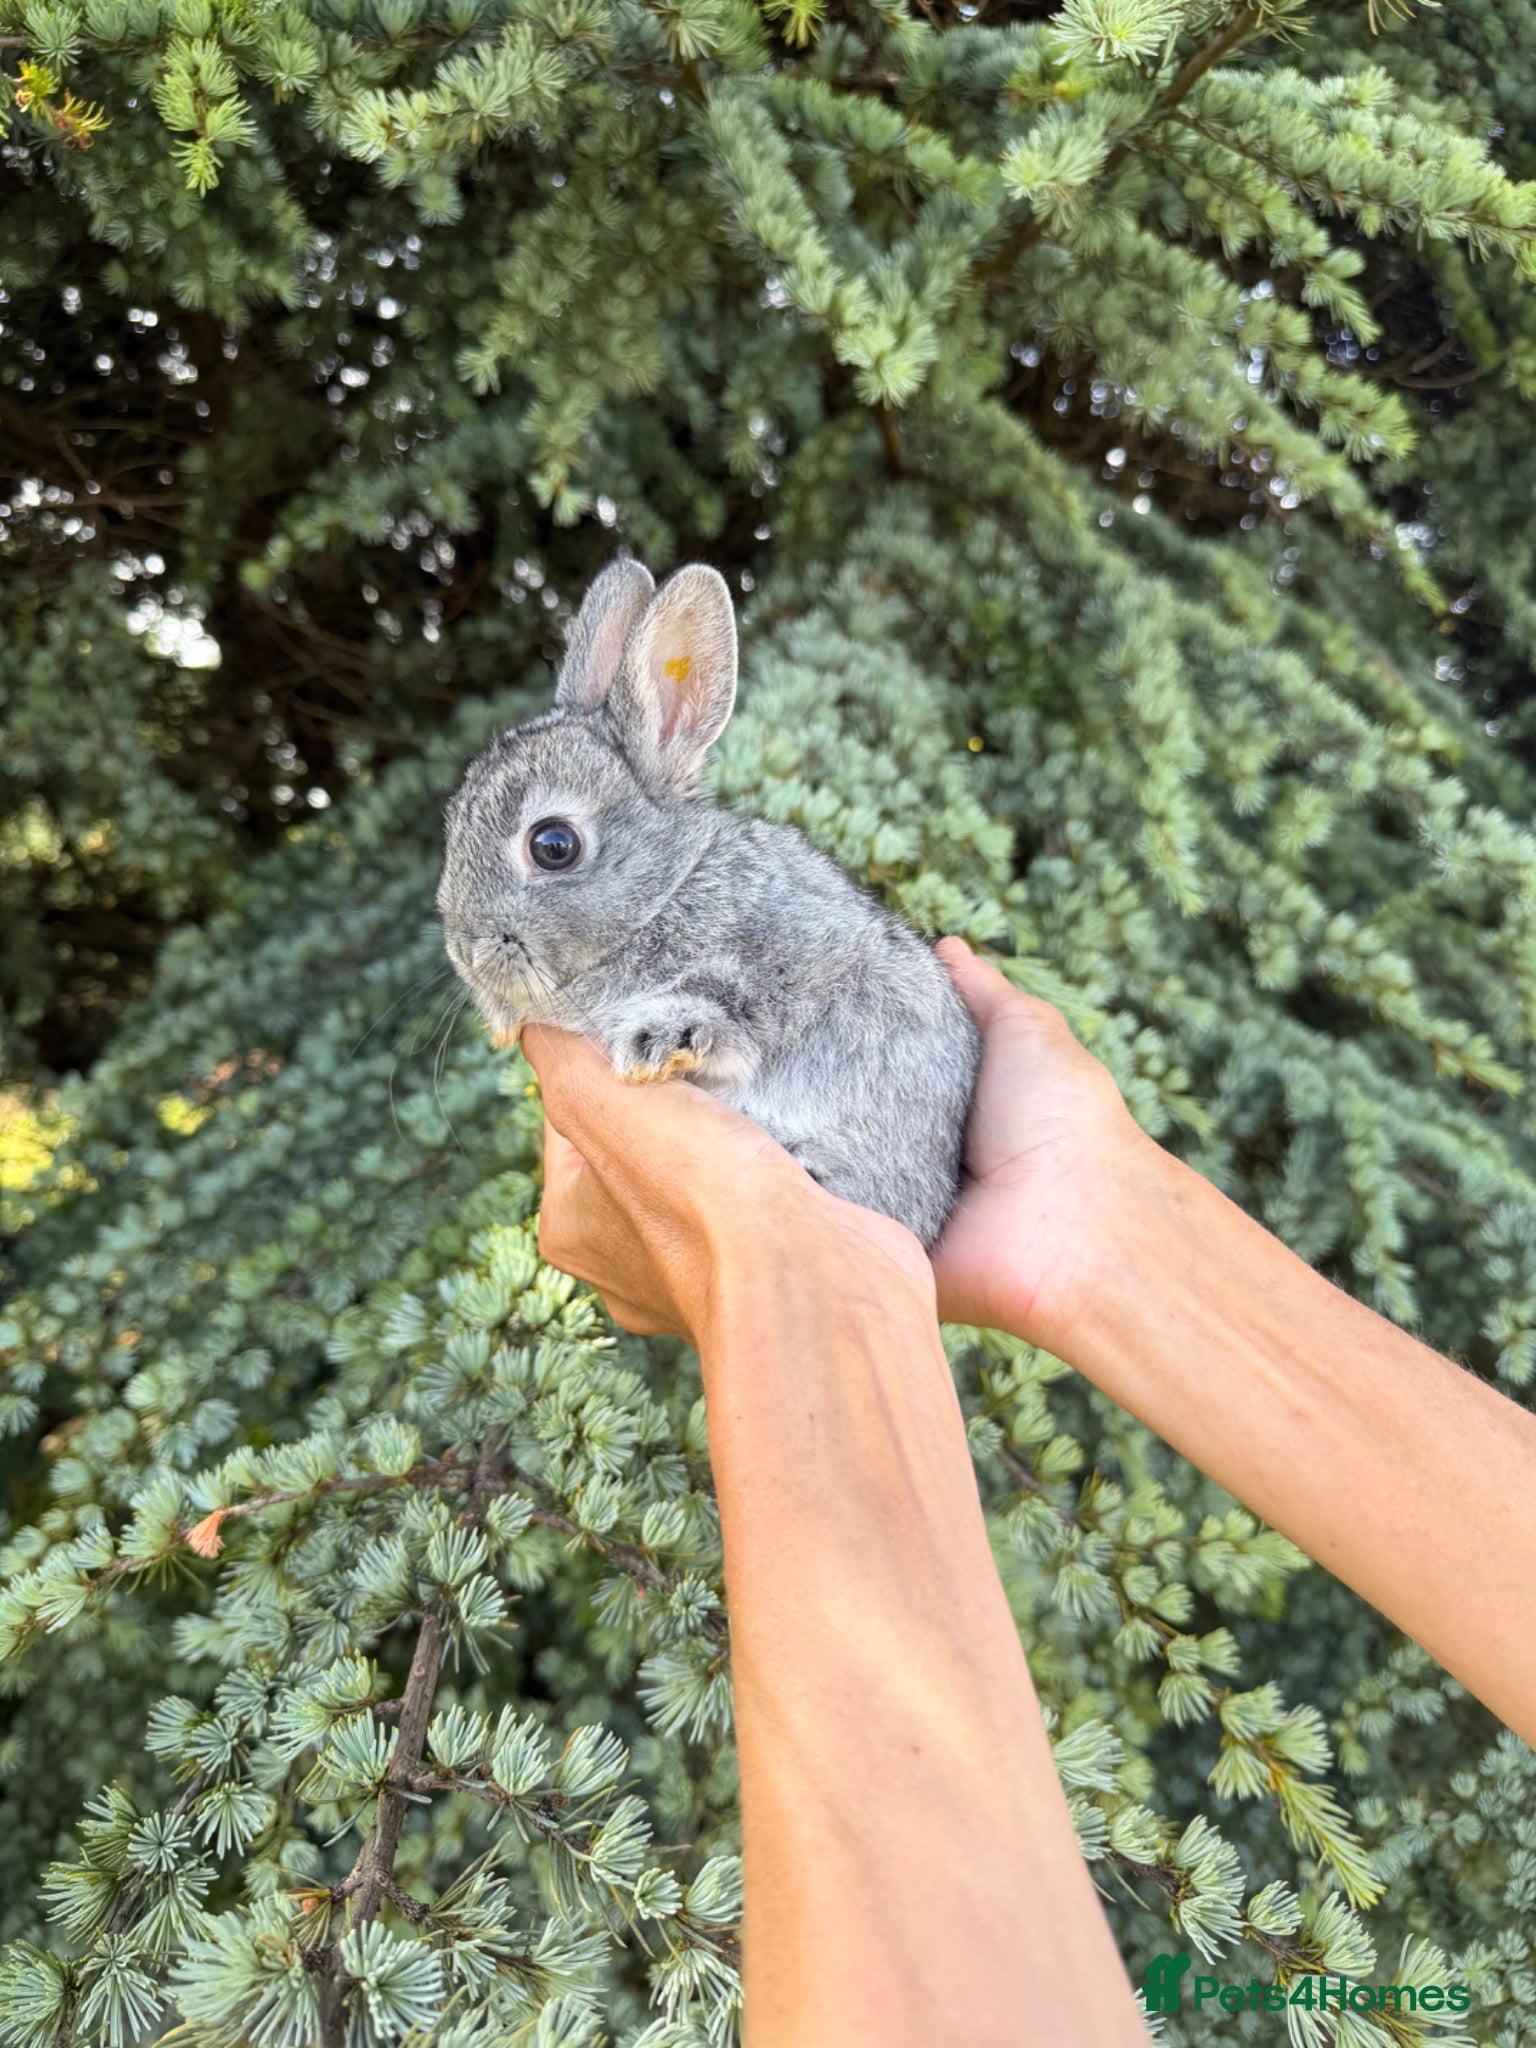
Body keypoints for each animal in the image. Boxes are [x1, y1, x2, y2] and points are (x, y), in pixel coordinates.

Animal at [436, 557, 981, 1249]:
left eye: (553, 845)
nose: (465, 952)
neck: (665, 893)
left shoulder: (802, 961)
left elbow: (742, 1004)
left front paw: (660, 1038)